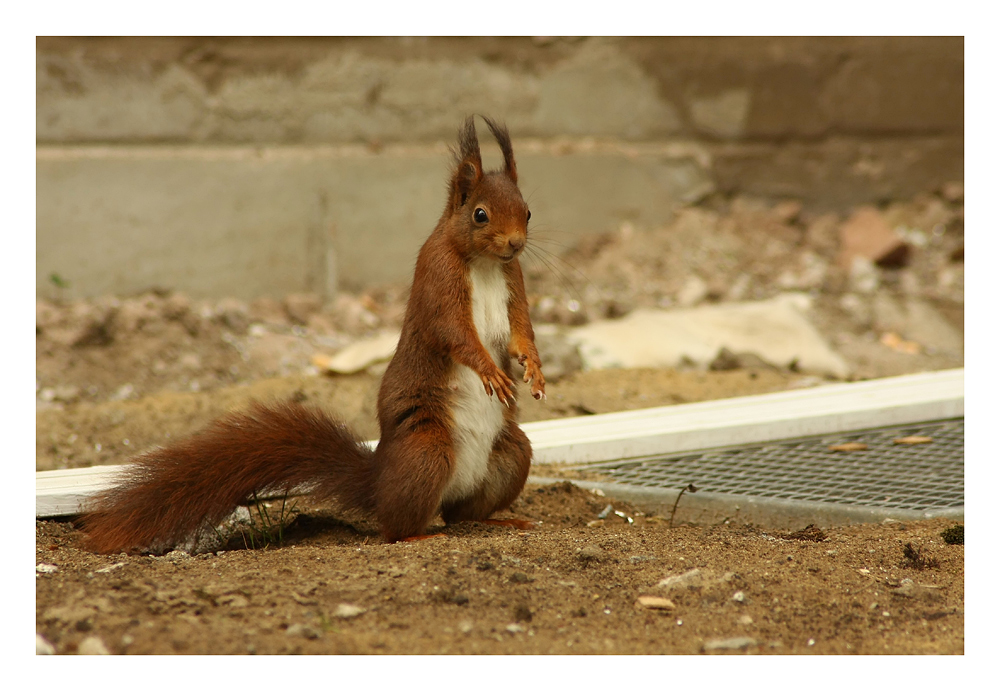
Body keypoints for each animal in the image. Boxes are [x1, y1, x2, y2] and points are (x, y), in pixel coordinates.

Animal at [83, 116, 552, 556]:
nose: (515, 243)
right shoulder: (439, 283)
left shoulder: (513, 284)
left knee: (460, 514)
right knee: (397, 528)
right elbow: (456, 335)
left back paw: (501, 521)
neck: (485, 264)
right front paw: (490, 371)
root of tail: (378, 483)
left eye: (528, 212)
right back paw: (419, 535)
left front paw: (534, 368)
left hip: (511, 454)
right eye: (480, 214)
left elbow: (520, 333)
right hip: (427, 451)